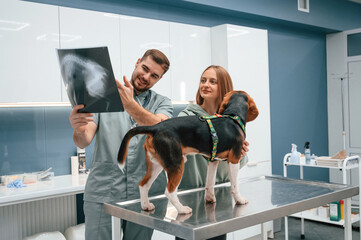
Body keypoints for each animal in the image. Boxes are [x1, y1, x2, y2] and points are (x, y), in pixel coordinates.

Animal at [118, 90, 258, 214]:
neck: (233, 117)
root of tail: (155, 128)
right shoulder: (234, 160)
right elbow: (234, 186)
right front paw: (239, 200)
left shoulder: (213, 161)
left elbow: (210, 183)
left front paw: (210, 198)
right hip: (177, 165)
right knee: (169, 192)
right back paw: (182, 210)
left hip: (156, 164)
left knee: (143, 185)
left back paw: (146, 205)